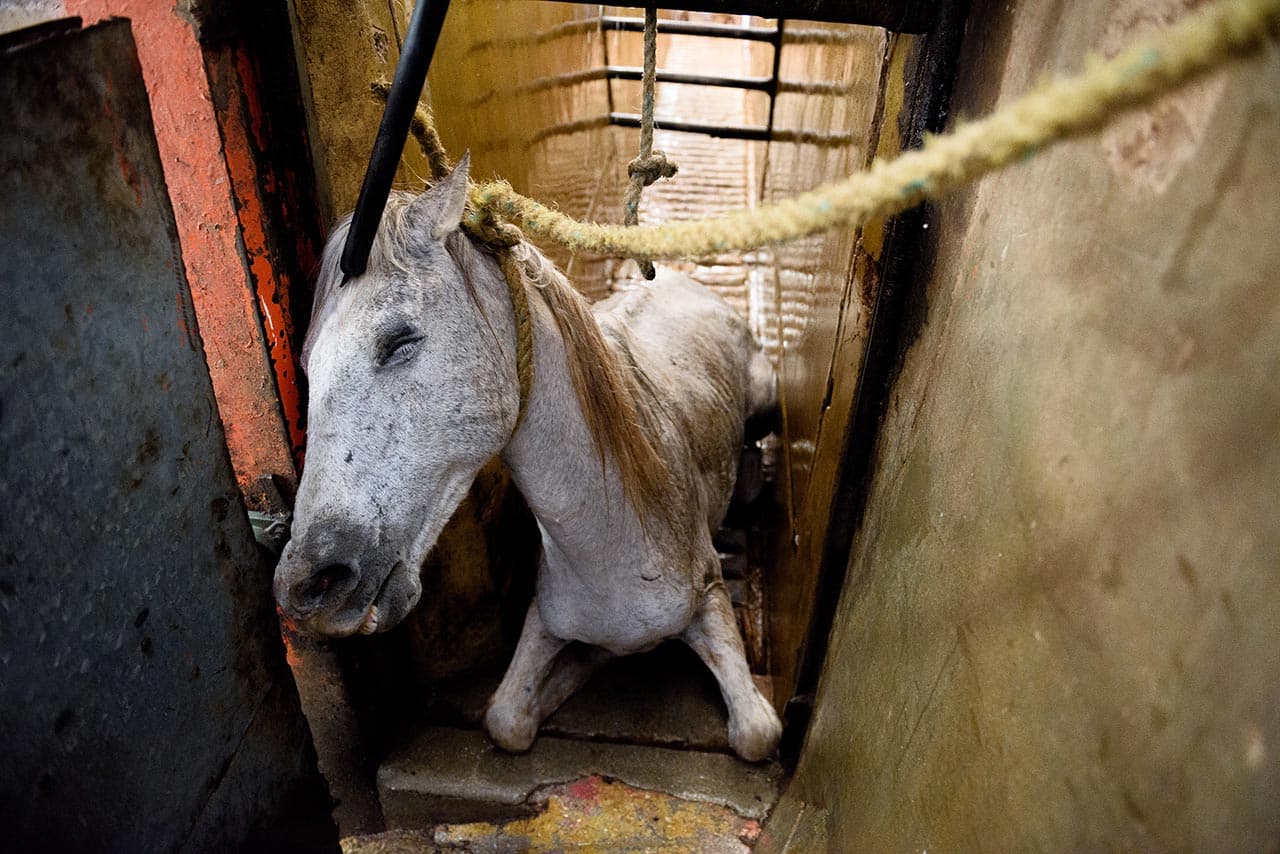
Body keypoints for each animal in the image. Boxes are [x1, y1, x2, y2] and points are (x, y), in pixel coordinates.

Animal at [273, 154, 783, 762]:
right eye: (307, 364)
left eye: (400, 341)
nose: (310, 586)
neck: (612, 543)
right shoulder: (543, 622)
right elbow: (507, 719)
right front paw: (579, 667)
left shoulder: (710, 600)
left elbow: (756, 734)